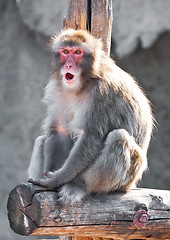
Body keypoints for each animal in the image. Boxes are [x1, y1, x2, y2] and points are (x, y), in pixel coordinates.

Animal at [27, 28, 153, 204]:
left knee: (118, 137)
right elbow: (59, 132)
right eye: (65, 52)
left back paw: (79, 186)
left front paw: (56, 180)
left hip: (127, 179)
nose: (69, 65)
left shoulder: (103, 93)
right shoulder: (57, 91)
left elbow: (91, 137)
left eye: (77, 52)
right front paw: (50, 182)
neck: (83, 84)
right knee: (41, 140)